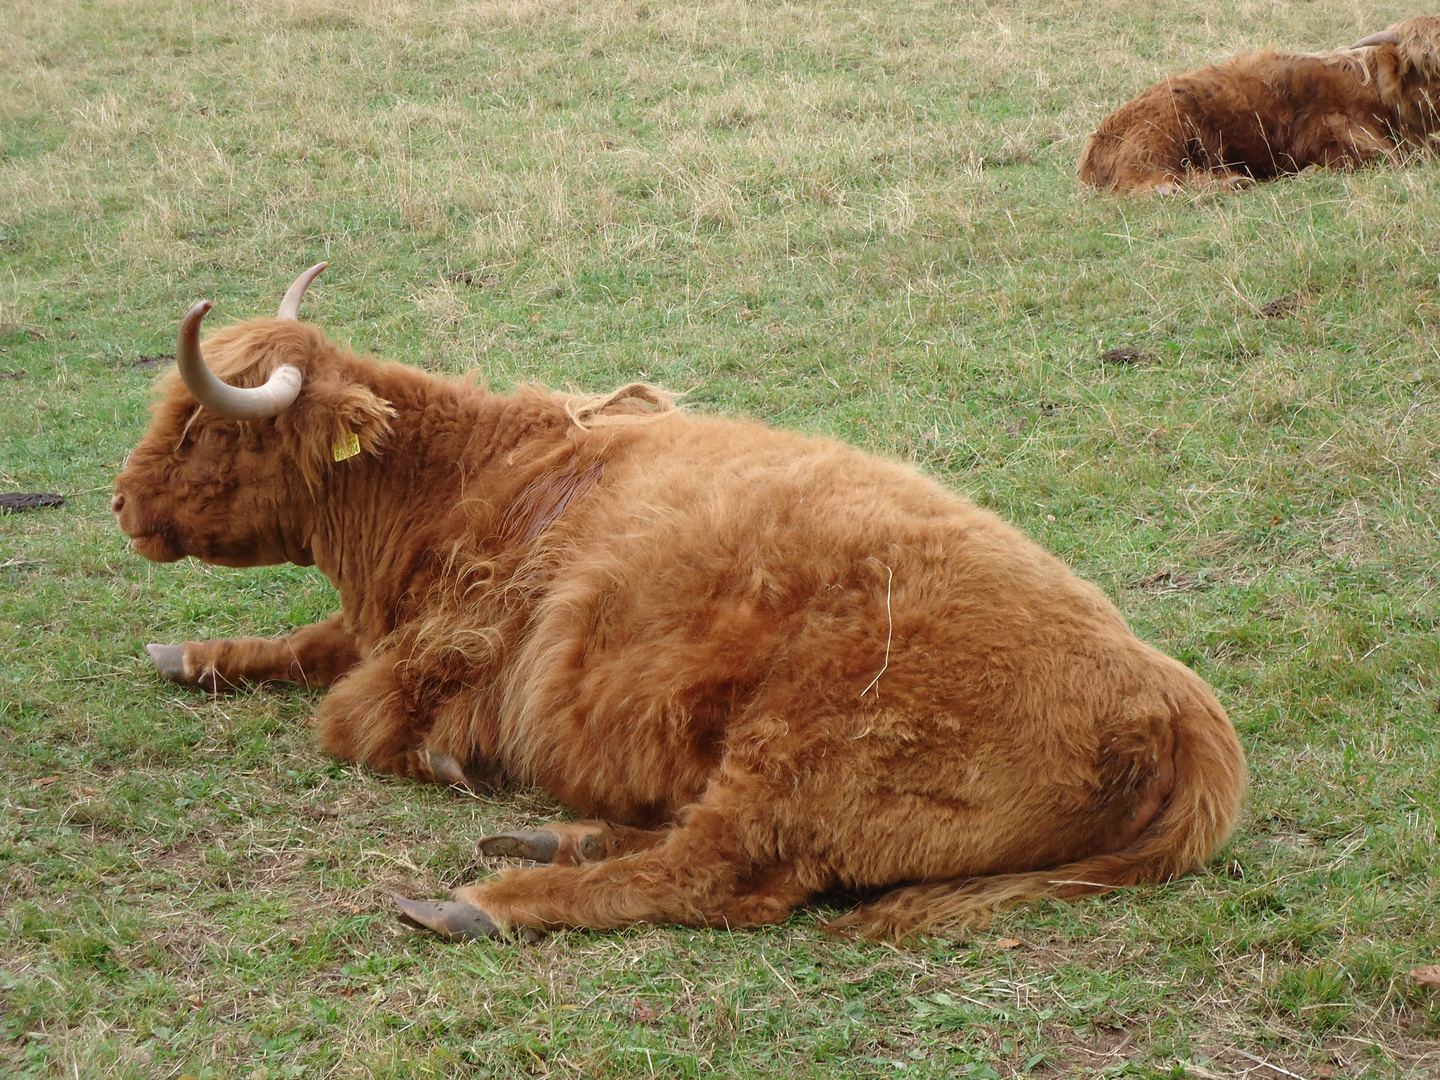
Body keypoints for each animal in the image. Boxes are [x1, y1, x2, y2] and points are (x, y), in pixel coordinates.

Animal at [112, 266, 1244, 944]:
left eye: (204, 430)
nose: (121, 501)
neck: (478, 474)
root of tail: (1175, 704)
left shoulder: (432, 657)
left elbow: (346, 715)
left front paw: (449, 761)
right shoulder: (384, 623)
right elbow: (311, 643)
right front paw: (191, 653)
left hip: (804, 754)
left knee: (715, 874)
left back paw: (482, 899)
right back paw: (548, 842)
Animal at [1082, 15, 1440, 192]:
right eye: (1426, 65)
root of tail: (1100, 135)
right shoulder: (1330, 131)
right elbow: (1382, 157)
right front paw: (1308, 173)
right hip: (1158, 135)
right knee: (1143, 180)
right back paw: (1229, 182)